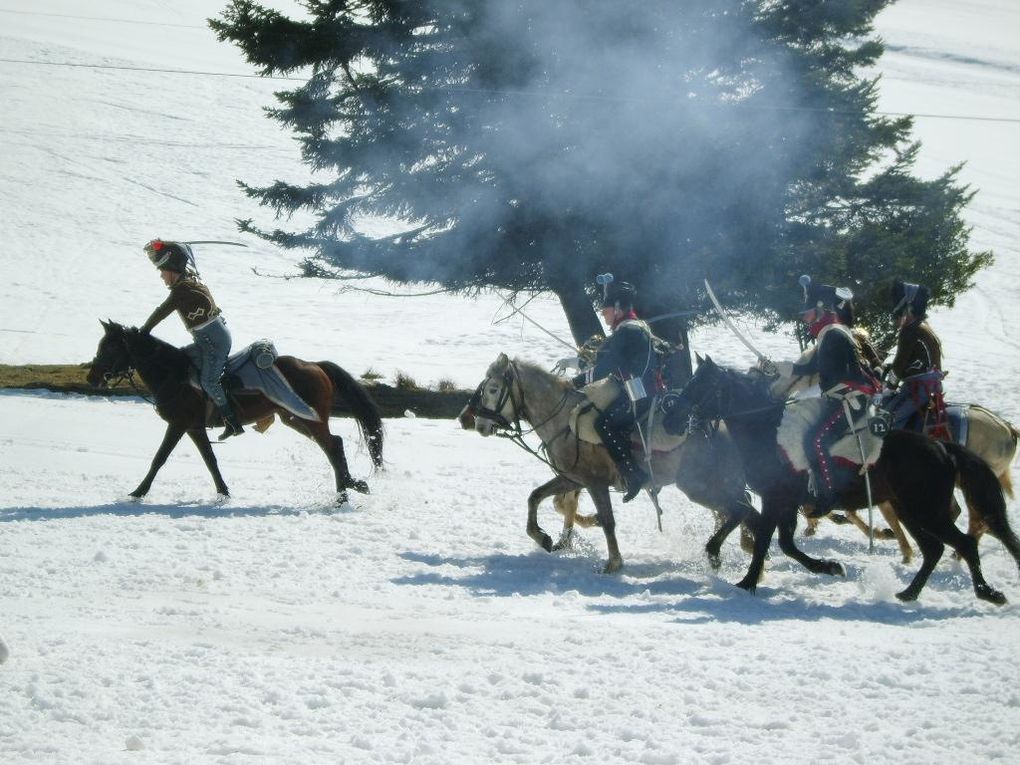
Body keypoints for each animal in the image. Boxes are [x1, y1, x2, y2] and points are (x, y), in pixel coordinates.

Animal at [86, 322, 383, 503]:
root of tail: (316, 365)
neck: (174, 374)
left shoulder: (179, 424)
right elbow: (210, 461)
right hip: (295, 418)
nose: (92, 377)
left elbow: (159, 458)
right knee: (334, 445)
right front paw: (223, 492)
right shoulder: (194, 427)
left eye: (110, 348)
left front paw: (138, 492)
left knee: (333, 446)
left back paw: (344, 493)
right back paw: (352, 485)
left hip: (309, 418)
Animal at [660, 359, 1020, 603]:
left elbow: (765, 540)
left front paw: (747, 583)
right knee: (935, 549)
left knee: (964, 543)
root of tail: (941, 448)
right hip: (911, 511)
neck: (767, 432)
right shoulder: (785, 503)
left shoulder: (776, 499)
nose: (670, 419)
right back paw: (908, 592)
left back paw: (987, 593)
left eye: (701, 386)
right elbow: (785, 543)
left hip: (926, 511)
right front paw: (829, 567)